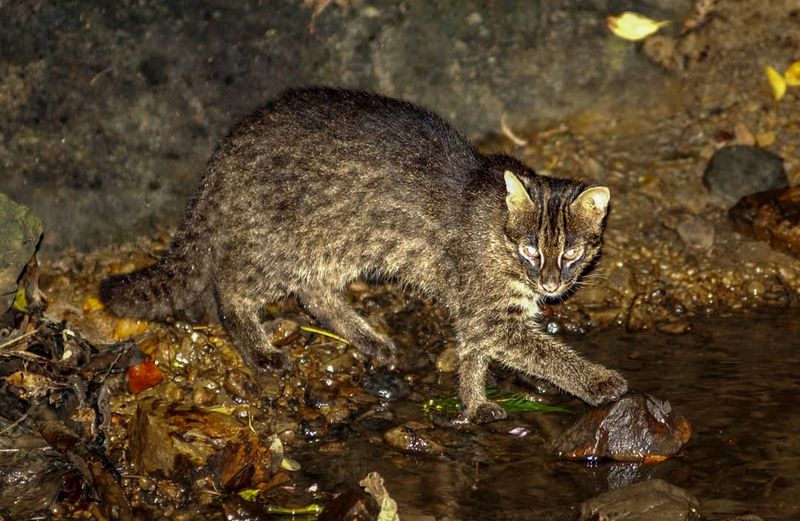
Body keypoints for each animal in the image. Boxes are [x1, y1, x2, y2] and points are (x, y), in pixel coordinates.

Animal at [100, 87, 624, 420]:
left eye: (572, 252)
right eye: (531, 249)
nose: (551, 284)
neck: (500, 236)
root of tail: (231, 144)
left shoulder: (478, 312)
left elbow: (475, 352)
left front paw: (473, 402)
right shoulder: (490, 311)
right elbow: (541, 352)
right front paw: (596, 381)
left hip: (337, 242)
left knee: (314, 293)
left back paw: (366, 336)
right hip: (287, 240)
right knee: (229, 283)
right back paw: (259, 346)